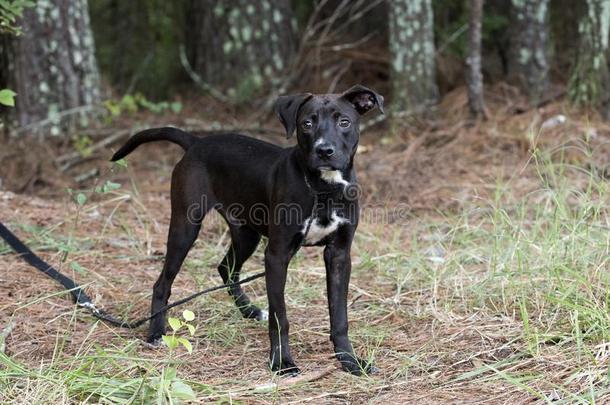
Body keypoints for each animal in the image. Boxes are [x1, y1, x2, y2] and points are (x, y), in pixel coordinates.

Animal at [110, 83, 380, 374]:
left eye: (344, 122)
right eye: (307, 124)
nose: (324, 151)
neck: (323, 189)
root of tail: (196, 142)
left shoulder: (339, 255)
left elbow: (339, 316)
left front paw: (350, 360)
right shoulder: (277, 255)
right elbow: (280, 316)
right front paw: (282, 361)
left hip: (246, 233)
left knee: (225, 268)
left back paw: (249, 311)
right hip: (185, 226)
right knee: (163, 283)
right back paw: (156, 333)